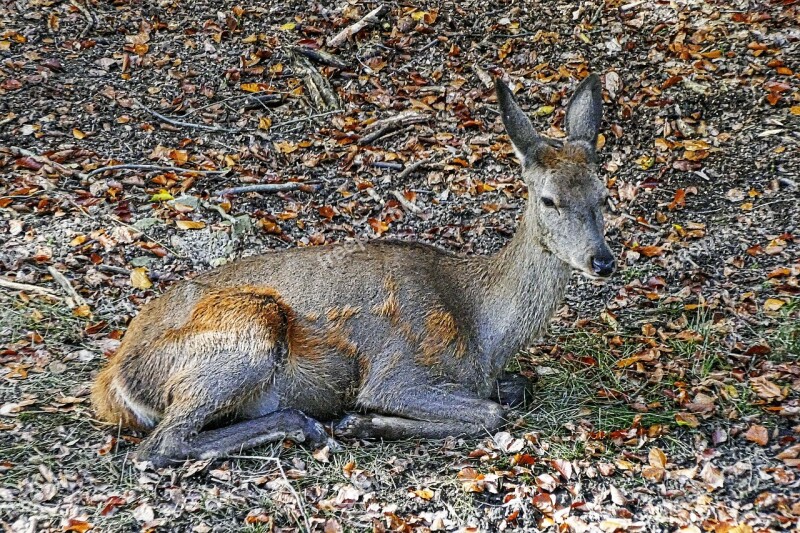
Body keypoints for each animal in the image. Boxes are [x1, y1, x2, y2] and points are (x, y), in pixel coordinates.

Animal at [92, 75, 612, 466]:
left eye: (603, 194)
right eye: (549, 199)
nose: (602, 260)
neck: (482, 331)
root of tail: (113, 383)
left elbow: (516, 390)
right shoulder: (399, 372)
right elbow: (490, 413)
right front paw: (360, 420)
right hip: (244, 331)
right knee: (160, 445)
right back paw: (309, 424)